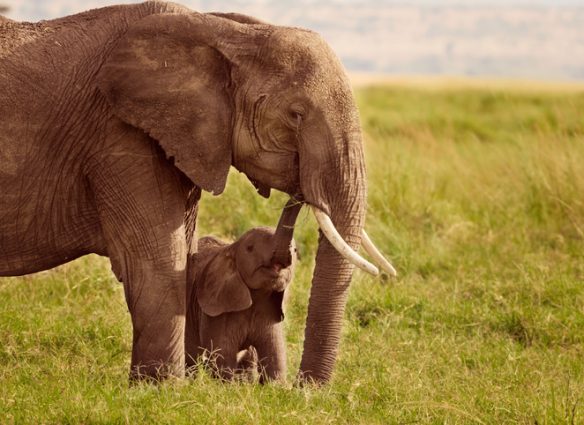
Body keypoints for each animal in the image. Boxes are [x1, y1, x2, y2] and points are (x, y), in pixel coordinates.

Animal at [186, 200, 302, 382]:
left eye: (296, 251)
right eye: (250, 248)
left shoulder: (271, 311)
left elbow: (275, 358)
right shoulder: (217, 313)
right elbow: (223, 358)